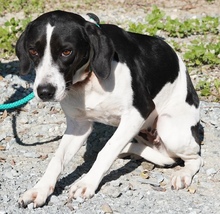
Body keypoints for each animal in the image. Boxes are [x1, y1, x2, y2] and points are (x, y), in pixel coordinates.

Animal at [15, 10, 203, 208]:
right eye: (33, 51)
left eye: (67, 51)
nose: (44, 92)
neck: (89, 78)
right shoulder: (78, 126)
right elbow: (57, 159)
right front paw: (40, 189)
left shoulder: (138, 113)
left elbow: (107, 150)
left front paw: (86, 183)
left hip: (170, 129)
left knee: (195, 158)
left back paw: (182, 174)